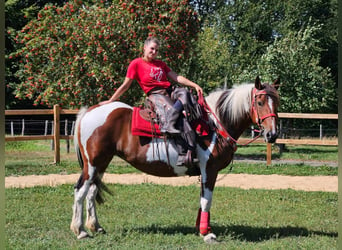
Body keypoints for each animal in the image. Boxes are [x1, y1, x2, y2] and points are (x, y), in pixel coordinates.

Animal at [70, 76, 280, 242]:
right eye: (260, 102)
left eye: (276, 103)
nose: (272, 135)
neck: (214, 124)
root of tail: (89, 111)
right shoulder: (209, 170)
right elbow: (207, 200)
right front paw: (207, 234)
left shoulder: (204, 172)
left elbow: (203, 199)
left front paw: (201, 228)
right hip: (93, 163)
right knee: (80, 191)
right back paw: (80, 230)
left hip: (102, 163)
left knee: (91, 191)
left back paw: (96, 226)